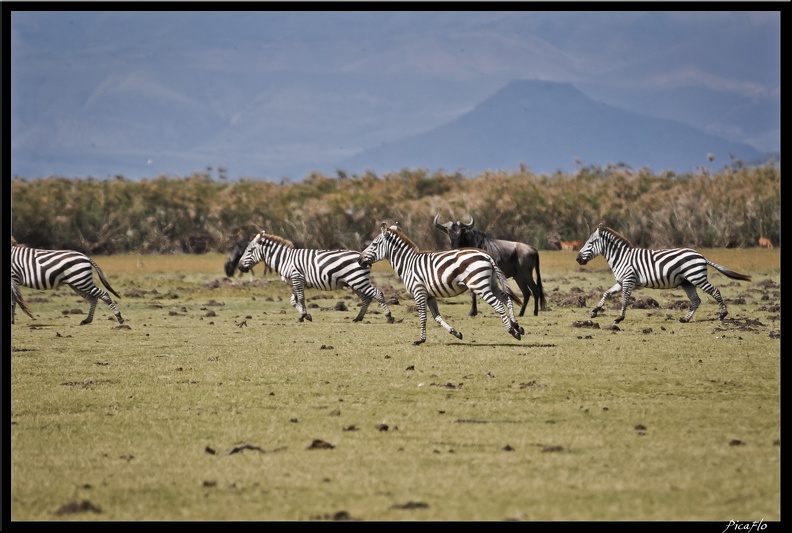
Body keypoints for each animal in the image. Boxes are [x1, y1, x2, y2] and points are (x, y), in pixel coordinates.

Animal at [235, 230, 396, 322]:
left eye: (249, 250)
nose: (239, 267)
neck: (285, 259)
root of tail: (363, 257)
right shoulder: (296, 280)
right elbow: (293, 301)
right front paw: (304, 315)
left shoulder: (297, 277)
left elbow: (300, 298)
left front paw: (303, 316)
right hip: (354, 282)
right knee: (366, 298)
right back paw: (358, 318)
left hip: (358, 281)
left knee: (377, 293)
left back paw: (388, 317)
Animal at [356, 221, 524, 342]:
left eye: (374, 244)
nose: (359, 260)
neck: (408, 264)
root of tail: (486, 255)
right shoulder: (430, 295)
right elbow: (437, 317)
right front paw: (456, 333)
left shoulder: (419, 292)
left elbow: (423, 316)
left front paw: (420, 340)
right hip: (491, 283)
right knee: (507, 299)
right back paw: (517, 326)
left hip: (480, 285)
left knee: (498, 305)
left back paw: (511, 330)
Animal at [572, 222, 752, 322]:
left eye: (589, 243)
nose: (578, 259)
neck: (621, 257)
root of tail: (701, 255)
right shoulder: (621, 281)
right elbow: (606, 293)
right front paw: (594, 312)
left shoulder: (629, 280)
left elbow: (624, 299)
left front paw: (619, 318)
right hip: (687, 282)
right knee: (696, 300)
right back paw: (685, 319)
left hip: (697, 277)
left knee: (715, 291)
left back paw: (722, 315)